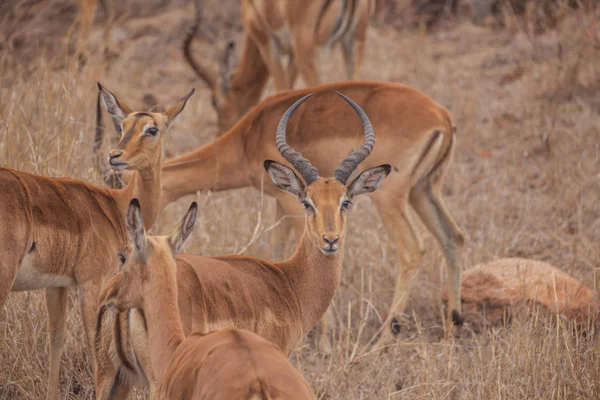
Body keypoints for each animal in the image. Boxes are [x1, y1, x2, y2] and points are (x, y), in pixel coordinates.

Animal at [0, 83, 193, 398]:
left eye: (151, 129)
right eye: (122, 125)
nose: (115, 155)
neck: (116, 203)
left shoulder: (58, 285)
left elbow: (56, 339)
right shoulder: (91, 282)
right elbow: (93, 345)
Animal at [150, 82, 464, 350]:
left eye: (346, 202)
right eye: (308, 202)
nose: (331, 240)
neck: (249, 136)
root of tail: (443, 116)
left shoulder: (285, 203)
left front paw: (325, 341)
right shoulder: (282, 200)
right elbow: (275, 249)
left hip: (391, 198)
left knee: (412, 249)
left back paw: (383, 340)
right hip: (424, 190)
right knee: (454, 238)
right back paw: (452, 329)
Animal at [183, 0, 372, 132]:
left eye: (214, 102)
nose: (221, 133)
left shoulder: (266, 43)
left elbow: (282, 90)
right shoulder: (292, 55)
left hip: (309, 49)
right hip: (354, 43)